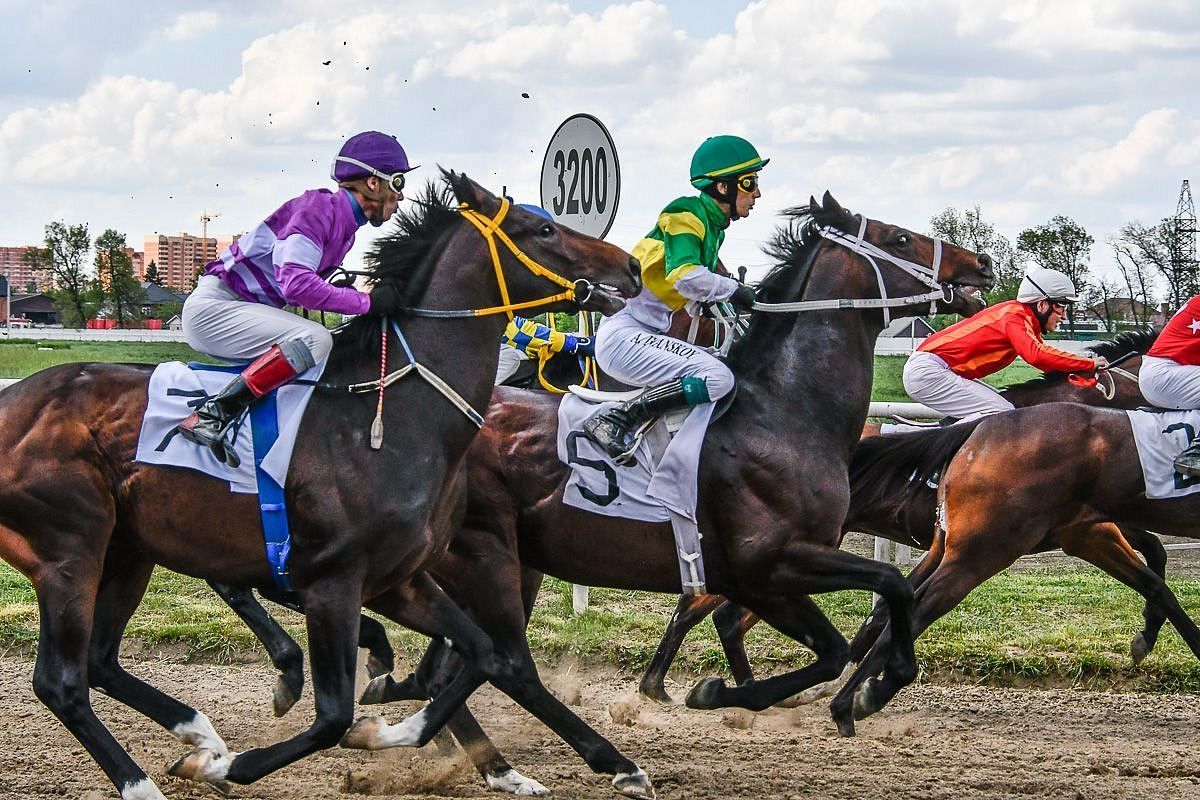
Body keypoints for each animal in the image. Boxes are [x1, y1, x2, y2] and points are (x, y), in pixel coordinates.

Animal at [0, 173, 648, 800]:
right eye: (543, 229)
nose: (633, 267)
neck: (390, 418)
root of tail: (13, 402)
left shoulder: (400, 579)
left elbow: (485, 655)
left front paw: (386, 724)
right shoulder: (331, 583)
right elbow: (334, 715)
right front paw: (233, 765)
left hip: (128, 550)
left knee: (100, 661)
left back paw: (199, 732)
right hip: (71, 550)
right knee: (60, 681)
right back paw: (147, 782)